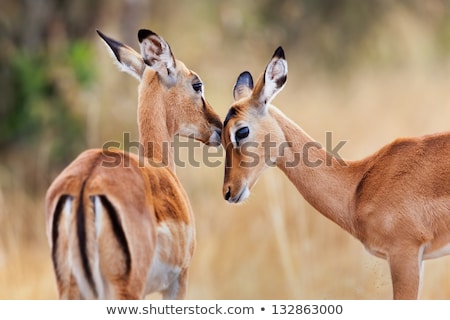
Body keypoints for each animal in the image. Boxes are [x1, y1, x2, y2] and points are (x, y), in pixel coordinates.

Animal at [43, 28, 221, 298]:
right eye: (197, 84)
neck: (160, 166)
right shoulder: (179, 279)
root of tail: (85, 184)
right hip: (126, 288)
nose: (219, 126)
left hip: (71, 289)